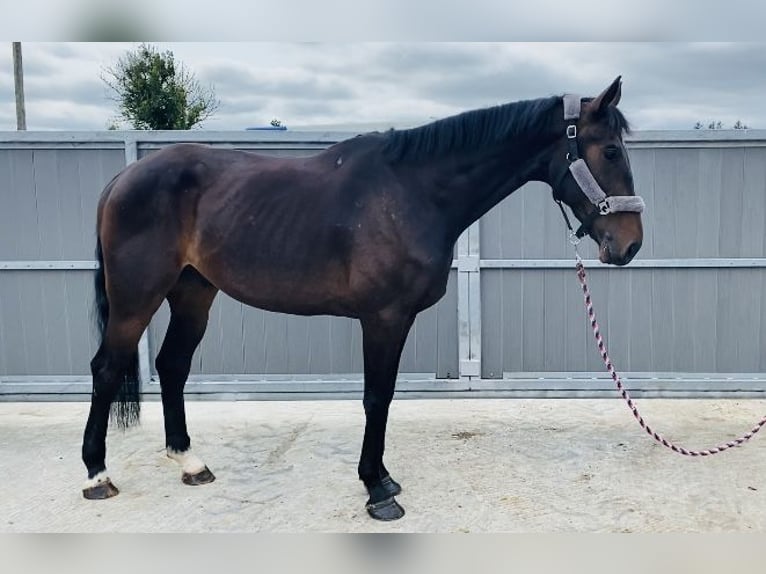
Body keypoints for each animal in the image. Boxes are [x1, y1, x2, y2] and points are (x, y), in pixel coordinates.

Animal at [79, 76, 640, 520]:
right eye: (610, 151)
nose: (630, 245)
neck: (412, 192)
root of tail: (121, 179)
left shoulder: (393, 320)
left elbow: (384, 396)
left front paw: (383, 478)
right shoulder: (383, 318)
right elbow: (377, 398)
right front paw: (377, 491)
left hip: (193, 294)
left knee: (172, 365)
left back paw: (189, 462)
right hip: (136, 297)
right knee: (106, 368)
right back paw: (97, 475)